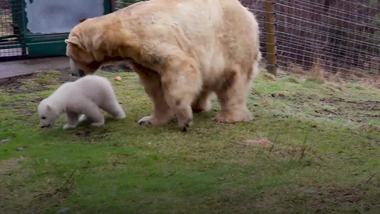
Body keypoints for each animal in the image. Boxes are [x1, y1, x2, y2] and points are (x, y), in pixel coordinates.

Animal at [66, 0, 262, 130]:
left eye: (69, 54)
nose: (74, 72)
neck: (121, 29)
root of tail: (249, 13)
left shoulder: (150, 36)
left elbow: (178, 67)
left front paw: (184, 120)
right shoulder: (139, 57)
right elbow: (155, 86)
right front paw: (149, 119)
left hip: (231, 42)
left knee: (232, 81)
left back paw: (228, 117)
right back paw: (197, 106)